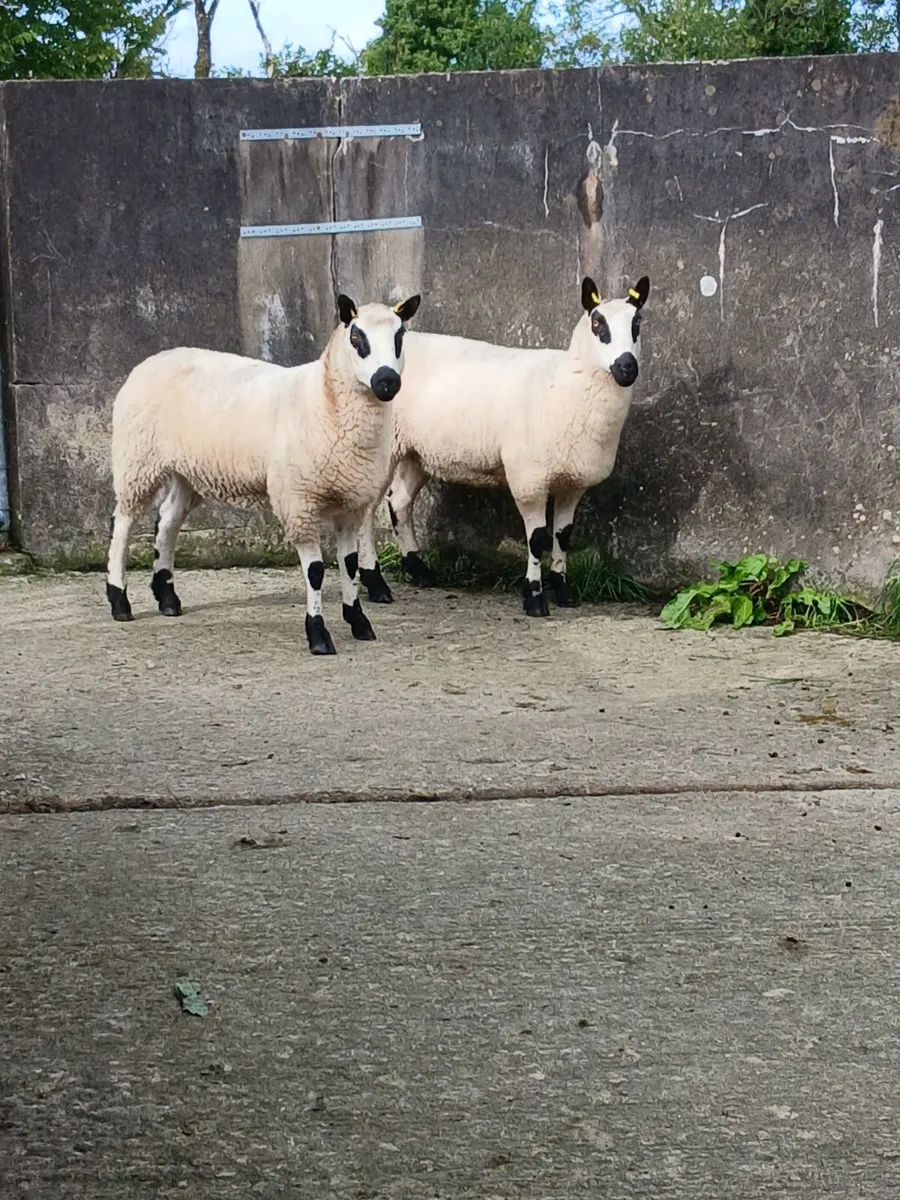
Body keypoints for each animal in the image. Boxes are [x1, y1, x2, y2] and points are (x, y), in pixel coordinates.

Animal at [105, 291, 422, 655]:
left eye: (399, 336)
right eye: (357, 338)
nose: (387, 382)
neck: (324, 401)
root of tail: (152, 359)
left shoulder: (350, 502)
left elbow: (350, 563)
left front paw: (358, 621)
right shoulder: (298, 501)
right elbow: (315, 572)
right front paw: (318, 635)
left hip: (187, 469)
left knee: (167, 521)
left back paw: (167, 597)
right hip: (137, 459)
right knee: (123, 523)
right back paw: (119, 599)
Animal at [357, 274, 649, 616]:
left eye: (637, 324)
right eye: (597, 324)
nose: (627, 368)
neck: (566, 382)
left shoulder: (573, 480)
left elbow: (563, 536)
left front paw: (564, 591)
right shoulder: (529, 478)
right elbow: (537, 540)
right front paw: (534, 597)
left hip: (417, 450)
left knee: (400, 502)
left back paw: (419, 571)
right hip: (382, 446)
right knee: (367, 511)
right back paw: (376, 583)